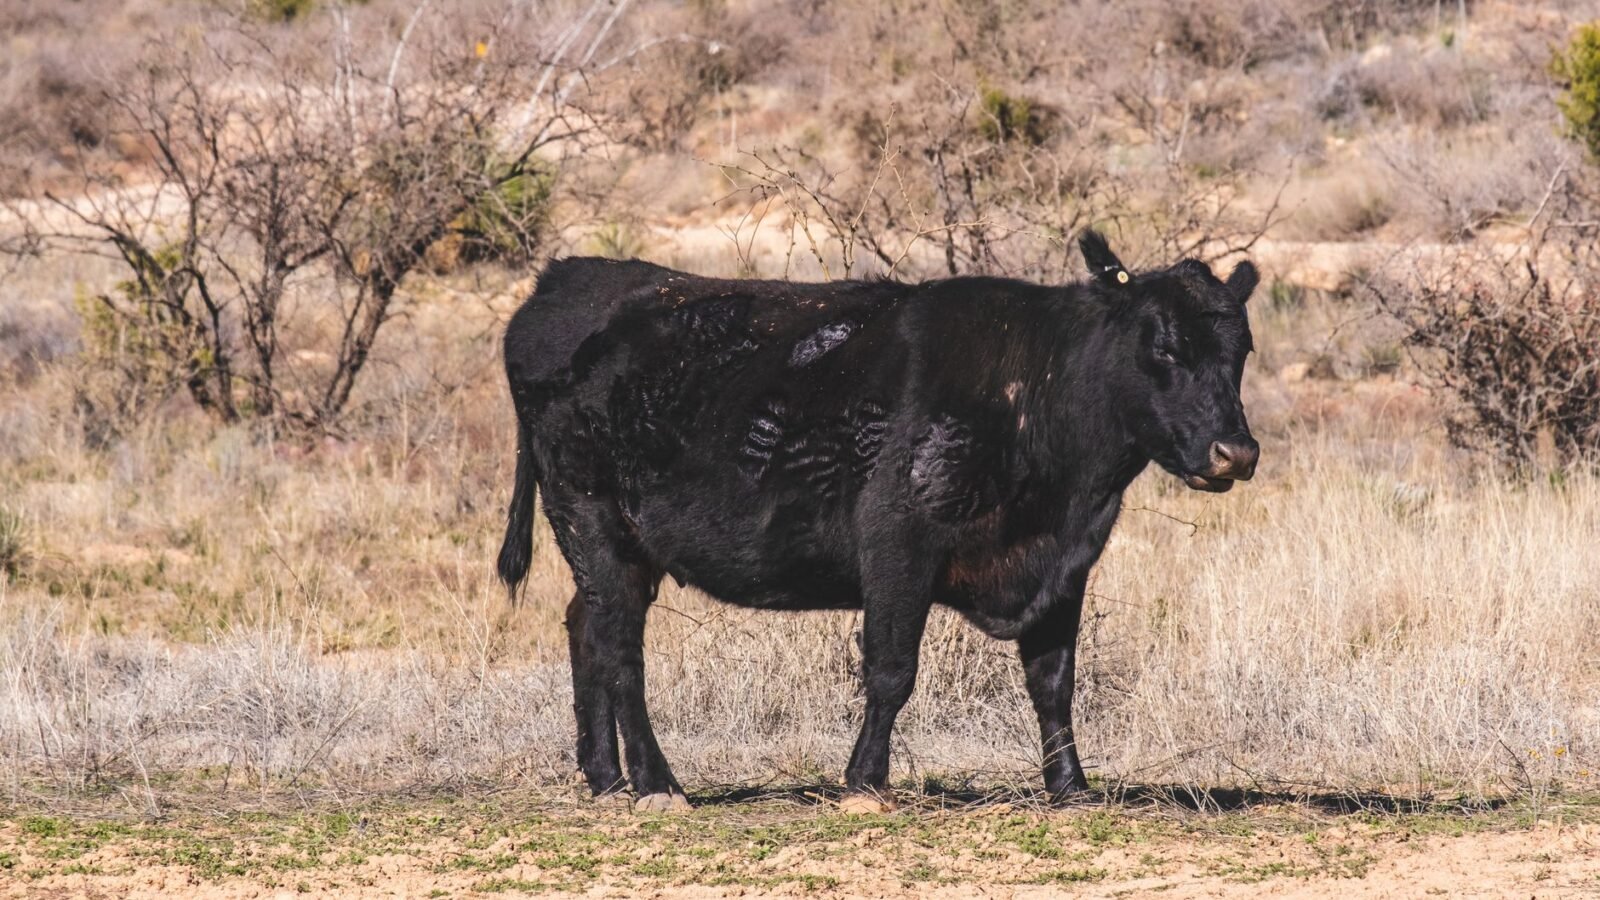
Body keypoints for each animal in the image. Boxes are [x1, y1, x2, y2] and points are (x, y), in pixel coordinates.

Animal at [497, 231, 1260, 812]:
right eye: (1163, 347)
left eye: (1242, 352)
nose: (1236, 451)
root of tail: (566, 278)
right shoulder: (899, 543)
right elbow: (893, 670)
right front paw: (864, 782)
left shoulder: (1064, 565)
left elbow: (1053, 681)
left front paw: (1070, 787)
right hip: (593, 520)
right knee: (620, 648)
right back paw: (656, 785)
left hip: (620, 544)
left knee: (585, 627)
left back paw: (605, 778)